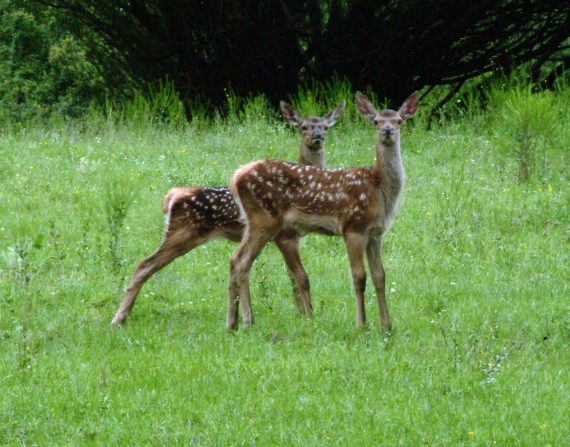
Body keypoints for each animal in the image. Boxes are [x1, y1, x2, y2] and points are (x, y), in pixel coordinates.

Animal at [110, 100, 342, 326]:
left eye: (325, 127)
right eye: (304, 127)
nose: (317, 136)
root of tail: (171, 196)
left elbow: (292, 278)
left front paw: (300, 313)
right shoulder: (286, 235)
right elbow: (300, 276)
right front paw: (308, 315)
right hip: (184, 233)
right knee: (144, 264)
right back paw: (119, 318)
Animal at [225, 91, 418, 332]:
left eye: (399, 121)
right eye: (376, 121)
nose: (387, 130)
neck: (379, 189)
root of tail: (236, 177)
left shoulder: (376, 233)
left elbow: (379, 276)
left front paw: (387, 327)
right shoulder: (353, 227)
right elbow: (359, 277)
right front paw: (362, 325)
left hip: (258, 222)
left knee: (234, 259)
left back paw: (232, 323)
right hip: (264, 219)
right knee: (242, 261)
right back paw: (248, 321)